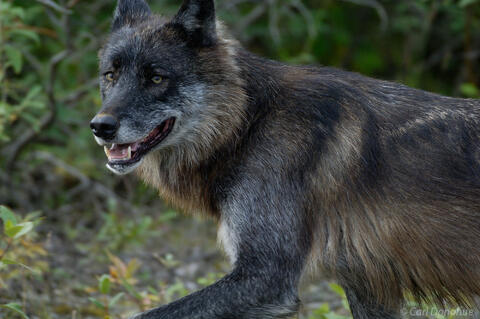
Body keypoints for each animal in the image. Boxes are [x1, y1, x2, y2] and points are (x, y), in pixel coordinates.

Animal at [89, 0, 480, 319]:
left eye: (156, 78)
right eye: (111, 75)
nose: (100, 126)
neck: (248, 124)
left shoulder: (267, 279)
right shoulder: (367, 286)